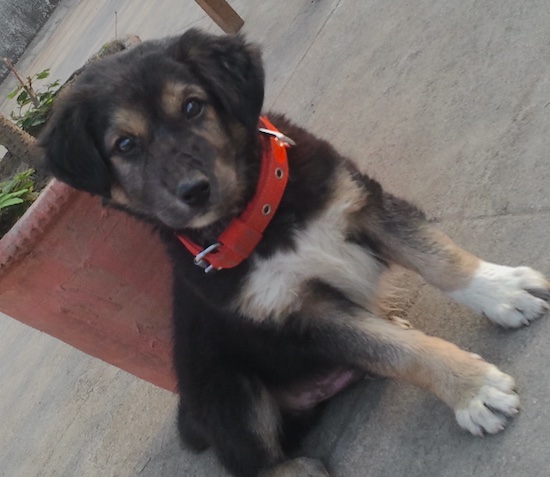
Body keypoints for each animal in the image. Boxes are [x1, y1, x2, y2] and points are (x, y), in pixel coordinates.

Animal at [40, 30, 550, 476]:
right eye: (125, 145)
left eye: (192, 106)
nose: (195, 191)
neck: (260, 221)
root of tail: (192, 416)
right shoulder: (302, 315)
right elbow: (398, 352)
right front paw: (473, 390)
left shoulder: (361, 204)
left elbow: (439, 259)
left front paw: (503, 291)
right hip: (229, 389)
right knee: (257, 463)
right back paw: (301, 469)